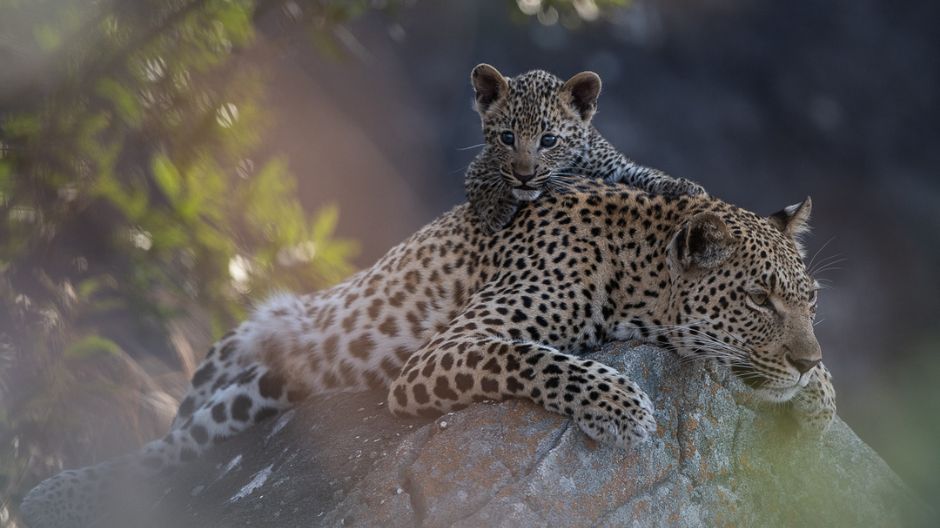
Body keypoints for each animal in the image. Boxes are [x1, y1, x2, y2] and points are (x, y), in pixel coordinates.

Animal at [20, 179, 836, 528]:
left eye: (808, 300)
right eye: (758, 300)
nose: (799, 360)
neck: (634, 274)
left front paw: (820, 400)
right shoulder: (444, 352)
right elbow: (537, 358)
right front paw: (621, 404)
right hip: (243, 363)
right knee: (168, 450)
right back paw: (56, 495)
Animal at [465, 64, 706, 234]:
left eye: (549, 140)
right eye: (507, 137)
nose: (524, 176)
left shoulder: (616, 167)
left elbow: (646, 173)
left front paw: (681, 186)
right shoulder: (480, 161)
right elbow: (481, 178)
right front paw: (495, 209)